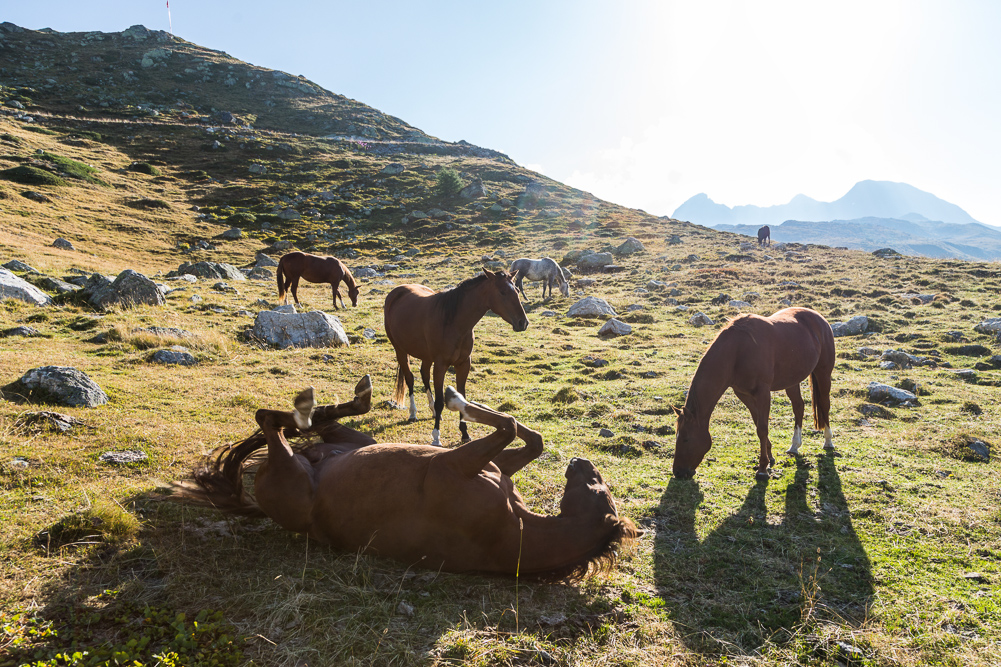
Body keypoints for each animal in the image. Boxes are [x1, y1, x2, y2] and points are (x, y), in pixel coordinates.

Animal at [170, 376, 640, 580]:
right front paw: (456, 397)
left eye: (599, 488)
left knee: (270, 421)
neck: (512, 528)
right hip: (350, 440)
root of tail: (310, 458)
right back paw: (349, 397)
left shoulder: (453, 465)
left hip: (292, 470)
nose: (582, 462)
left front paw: (454, 397)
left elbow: (506, 424)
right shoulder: (490, 467)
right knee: (312, 421)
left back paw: (304, 409)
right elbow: (531, 437)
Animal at [380, 268, 528, 444]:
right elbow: (439, 401)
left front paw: (464, 433)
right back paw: (413, 413)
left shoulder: (463, 364)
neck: (453, 322)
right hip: (400, 351)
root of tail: (396, 292)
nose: (523, 322)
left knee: (424, 374)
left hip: (426, 356)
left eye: (517, 291)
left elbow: (461, 398)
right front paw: (436, 437)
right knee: (410, 379)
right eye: (502, 292)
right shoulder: (441, 365)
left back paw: (433, 413)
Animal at [672, 306, 836, 478]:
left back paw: (828, 441)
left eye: (685, 439)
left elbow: (762, 428)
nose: (678, 472)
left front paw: (762, 468)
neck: (738, 351)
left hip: (823, 373)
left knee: (824, 404)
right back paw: (794, 446)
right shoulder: (743, 393)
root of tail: (819, 318)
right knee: (798, 406)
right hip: (792, 380)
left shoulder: (763, 392)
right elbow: (758, 423)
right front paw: (770, 457)